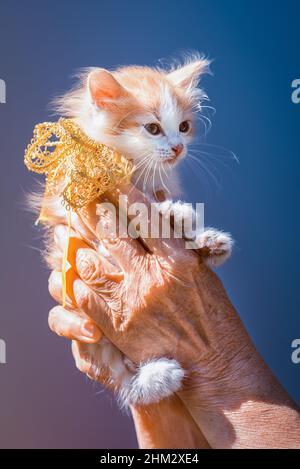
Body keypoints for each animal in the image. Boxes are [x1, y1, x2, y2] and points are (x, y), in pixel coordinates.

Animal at [35, 55, 233, 406]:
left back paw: (209, 243)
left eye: (183, 127)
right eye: (152, 128)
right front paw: (171, 213)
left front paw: (181, 219)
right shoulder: (79, 201)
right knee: (125, 380)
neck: (136, 169)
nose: (178, 148)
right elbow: (127, 215)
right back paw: (157, 378)